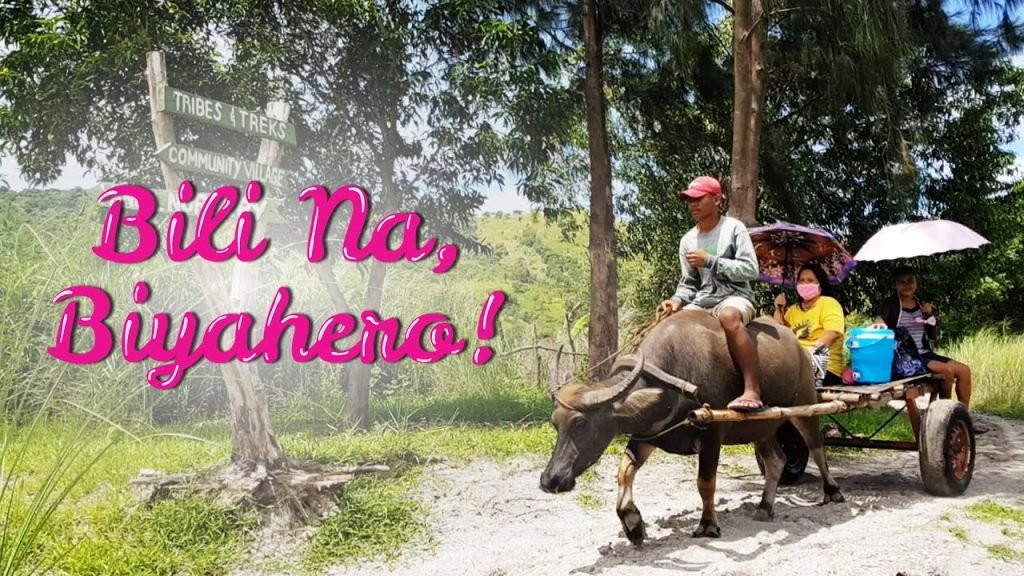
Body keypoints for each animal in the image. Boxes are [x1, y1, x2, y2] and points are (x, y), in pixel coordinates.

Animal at [539, 310, 844, 545]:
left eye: (580, 423)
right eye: (556, 423)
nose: (550, 479)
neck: (673, 381)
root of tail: (799, 347)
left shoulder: (711, 437)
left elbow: (705, 483)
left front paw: (708, 524)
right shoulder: (648, 435)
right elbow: (623, 473)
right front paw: (633, 524)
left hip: (805, 405)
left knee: (816, 447)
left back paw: (833, 492)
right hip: (762, 427)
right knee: (776, 460)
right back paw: (765, 506)